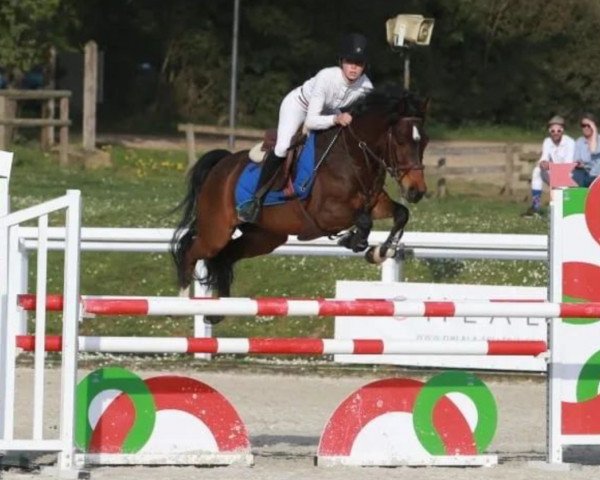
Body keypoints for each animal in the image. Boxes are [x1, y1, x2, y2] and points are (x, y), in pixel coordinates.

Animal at [171, 85, 428, 322]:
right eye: (401, 141)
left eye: (424, 142)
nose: (416, 191)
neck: (353, 158)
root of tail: (221, 165)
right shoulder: (326, 214)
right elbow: (363, 221)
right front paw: (354, 240)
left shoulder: (375, 204)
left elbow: (401, 214)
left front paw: (378, 252)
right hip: (217, 232)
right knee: (190, 250)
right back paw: (182, 303)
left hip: (264, 237)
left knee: (224, 257)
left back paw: (217, 312)